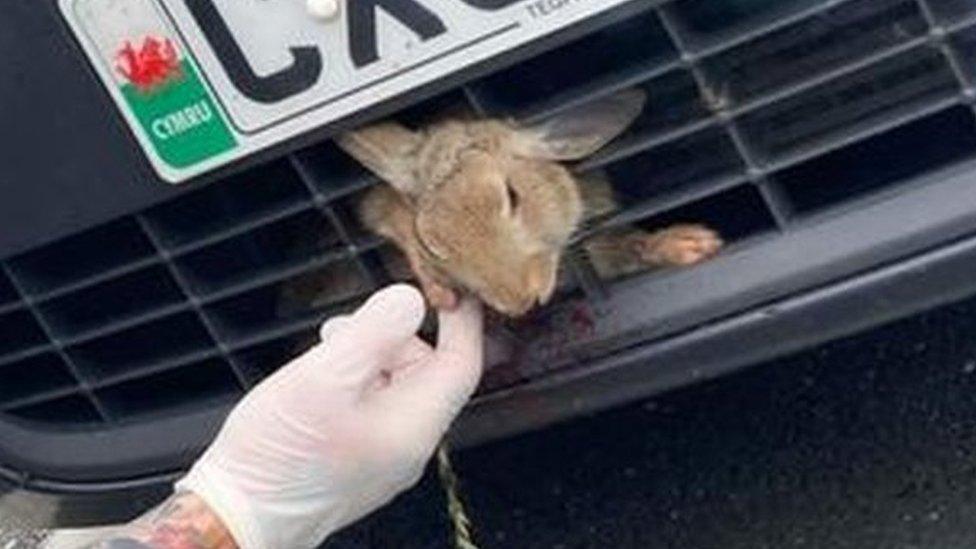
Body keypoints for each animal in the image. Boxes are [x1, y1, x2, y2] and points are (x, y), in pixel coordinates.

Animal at [336, 90, 724, 316]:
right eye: (431, 241)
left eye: (512, 196)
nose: (519, 302)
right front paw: (439, 293)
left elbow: (630, 245)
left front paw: (690, 244)